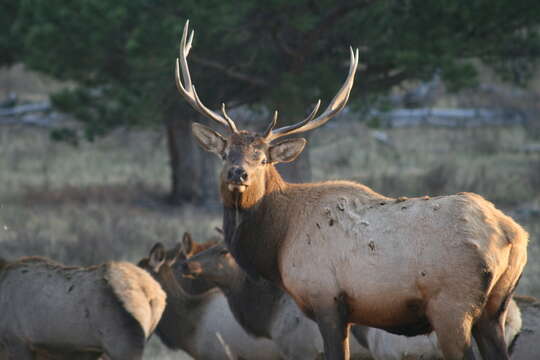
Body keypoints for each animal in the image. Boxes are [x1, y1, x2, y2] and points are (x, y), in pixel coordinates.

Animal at [176, 21, 528, 360]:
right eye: (225, 154)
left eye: (262, 159)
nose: (239, 173)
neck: (278, 241)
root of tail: (513, 234)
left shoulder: (326, 298)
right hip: (494, 310)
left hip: (452, 306)